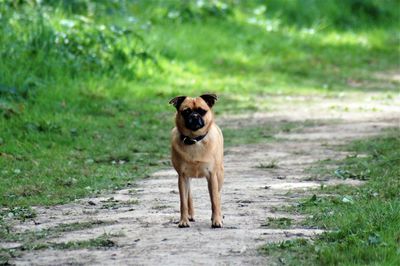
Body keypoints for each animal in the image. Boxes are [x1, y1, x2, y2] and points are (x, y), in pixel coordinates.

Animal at [170, 94, 225, 229]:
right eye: (186, 111)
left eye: (202, 111)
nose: (194, 115)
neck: (194, 139)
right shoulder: (182, 177)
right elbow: (183, 202)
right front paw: (183, 221)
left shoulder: (212, 176)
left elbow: (214, 200)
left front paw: (216, 220)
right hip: (186, 180)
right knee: (188, 196)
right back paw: (190, 215)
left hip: (219, 175)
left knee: (218, 195)